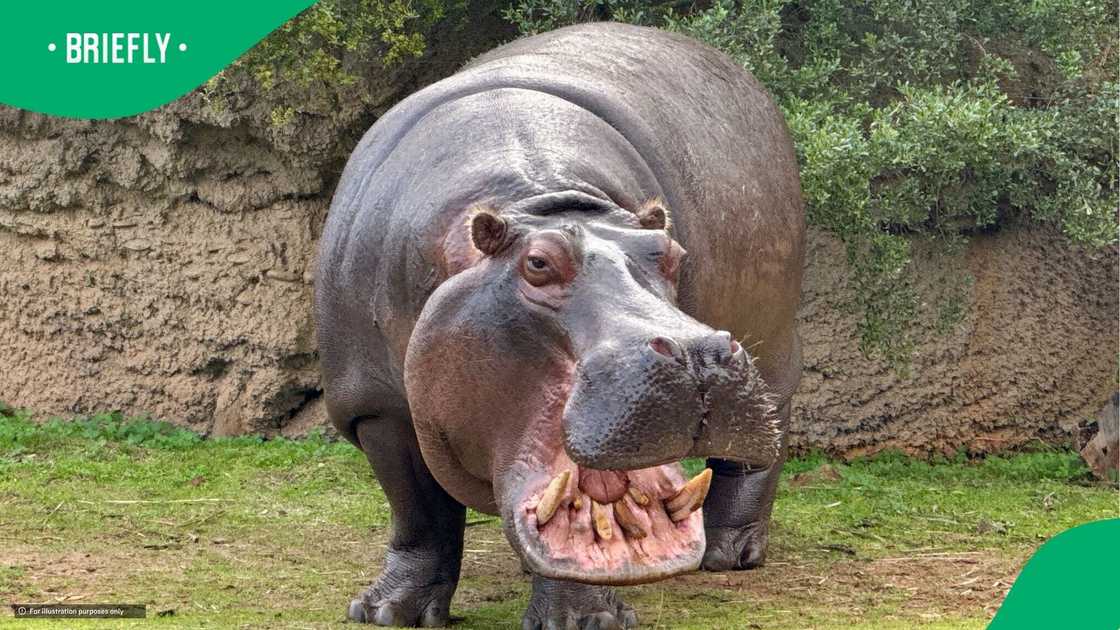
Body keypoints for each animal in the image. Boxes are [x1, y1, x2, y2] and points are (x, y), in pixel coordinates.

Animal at [315, 22, 804, 628]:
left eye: (668, 253)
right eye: (538, 264)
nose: (699, 353)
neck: (539, 201)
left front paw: (582, 620)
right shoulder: (374, 406)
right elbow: (418, 513)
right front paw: (385, 612)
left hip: (774, 345)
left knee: (759, 445)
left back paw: (729, 553)